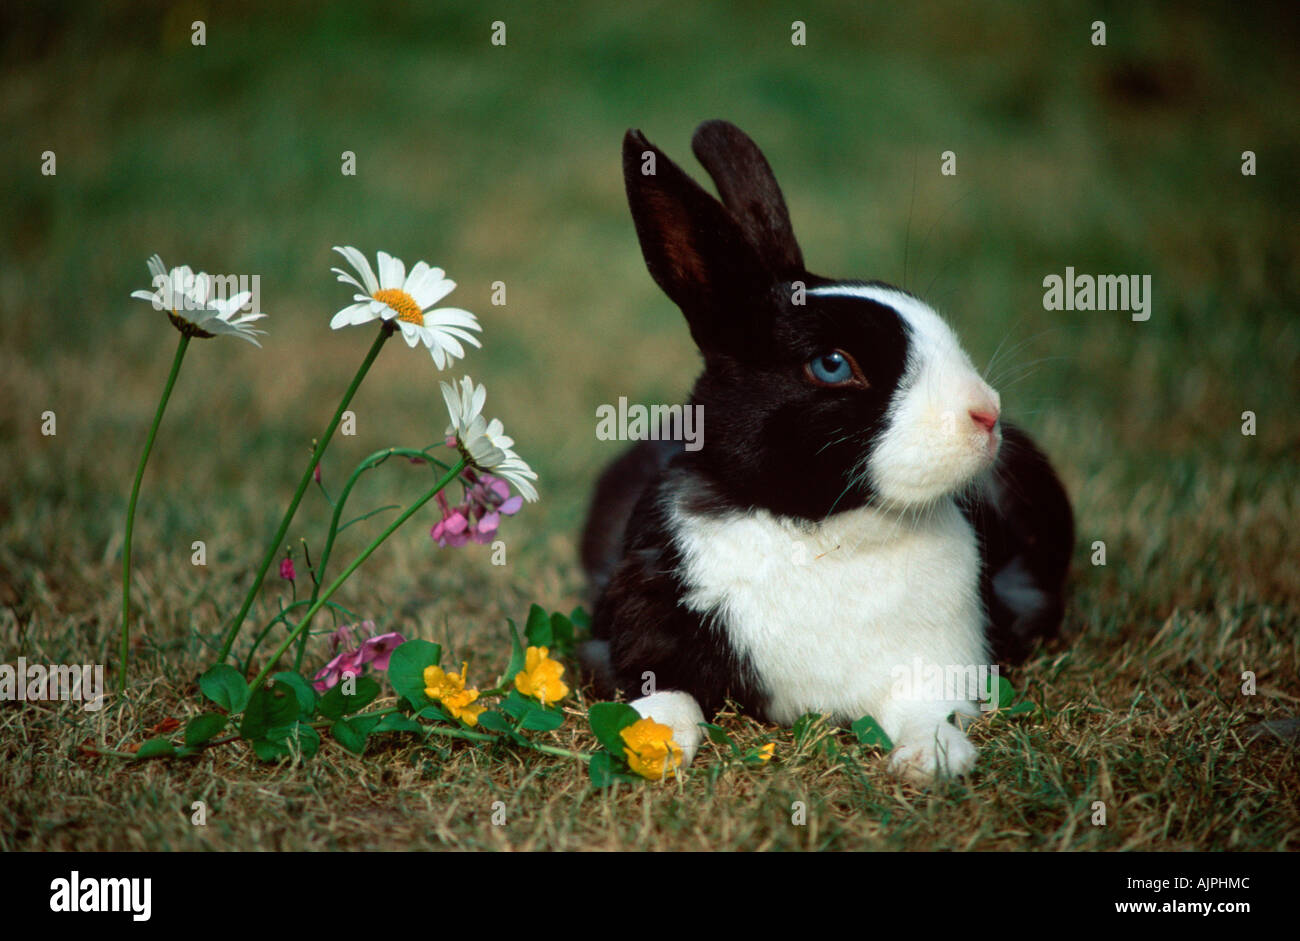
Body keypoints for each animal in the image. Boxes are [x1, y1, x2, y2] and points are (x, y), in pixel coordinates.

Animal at [579, 120, 1074, 782]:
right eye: (833, 365)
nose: (985, 412)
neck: (821, 529)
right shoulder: (629, 642)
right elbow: (666, 695)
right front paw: (655, 748)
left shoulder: (945, 660)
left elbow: (926, 707)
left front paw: (930, 758)